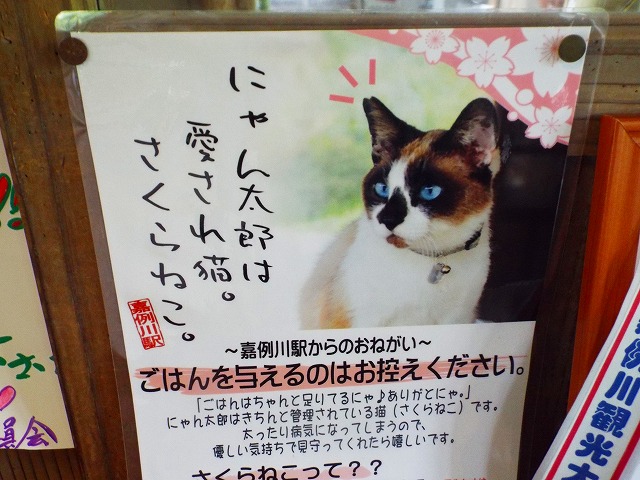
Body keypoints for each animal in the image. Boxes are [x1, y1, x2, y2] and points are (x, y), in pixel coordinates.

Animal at [300, 96, 501, 329]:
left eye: (429, 192)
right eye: (382, 189)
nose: (387, 219)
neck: (431, 260)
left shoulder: (457, 320)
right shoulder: (360, 321)